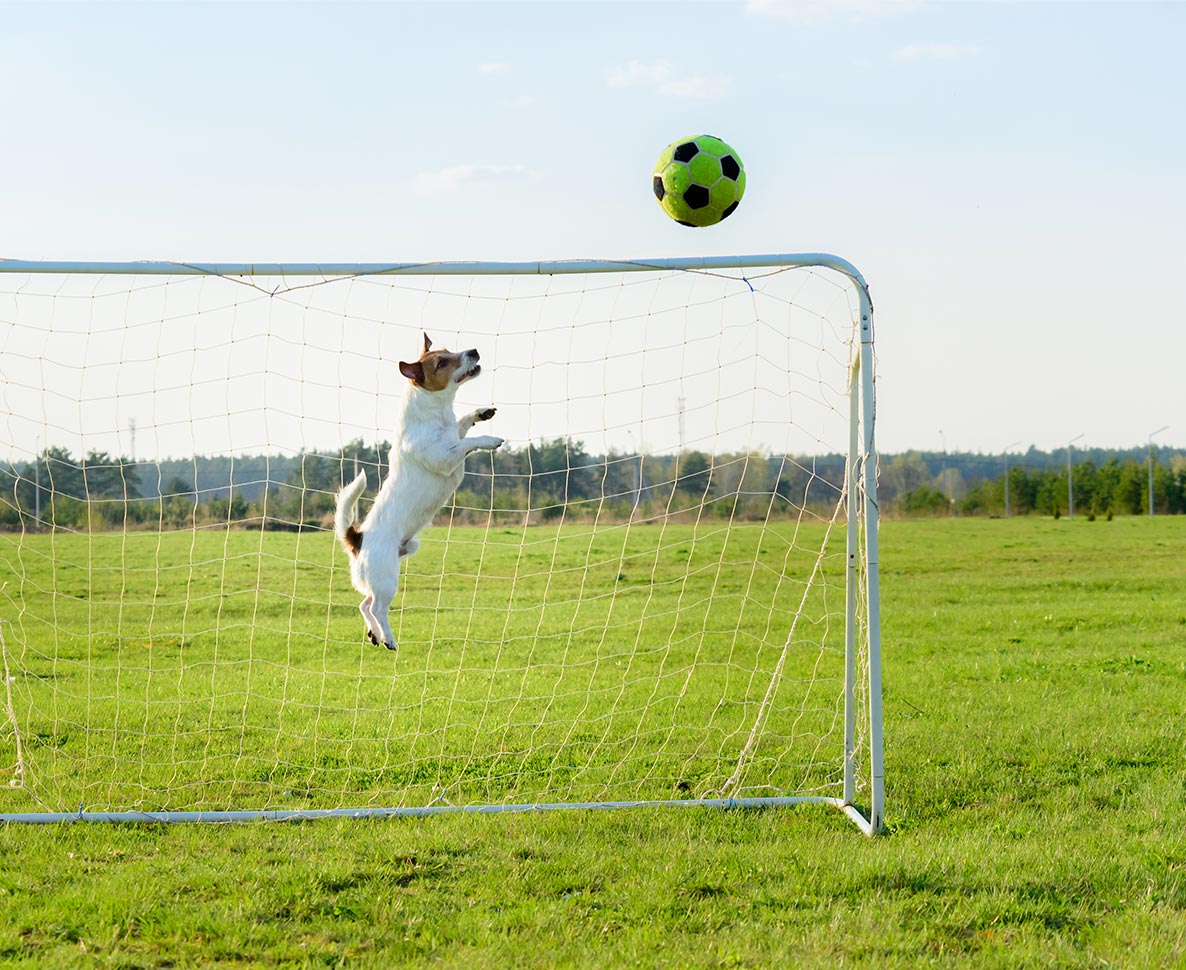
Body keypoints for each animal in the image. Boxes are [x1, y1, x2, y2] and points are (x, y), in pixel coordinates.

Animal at [334, 332, 500, 649]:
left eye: (449, 350)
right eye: (442, 362)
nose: (474, 350)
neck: (436, 415)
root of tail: (357, 538)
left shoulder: (453, 433)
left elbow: (462, 426)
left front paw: (480, 413)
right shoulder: (444, 457)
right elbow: (465, 443)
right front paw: (490, 438)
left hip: (390, 568)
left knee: (364, 603)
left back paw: (375, 634)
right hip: (387, 577)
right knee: (377, 607)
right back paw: (388, 637)